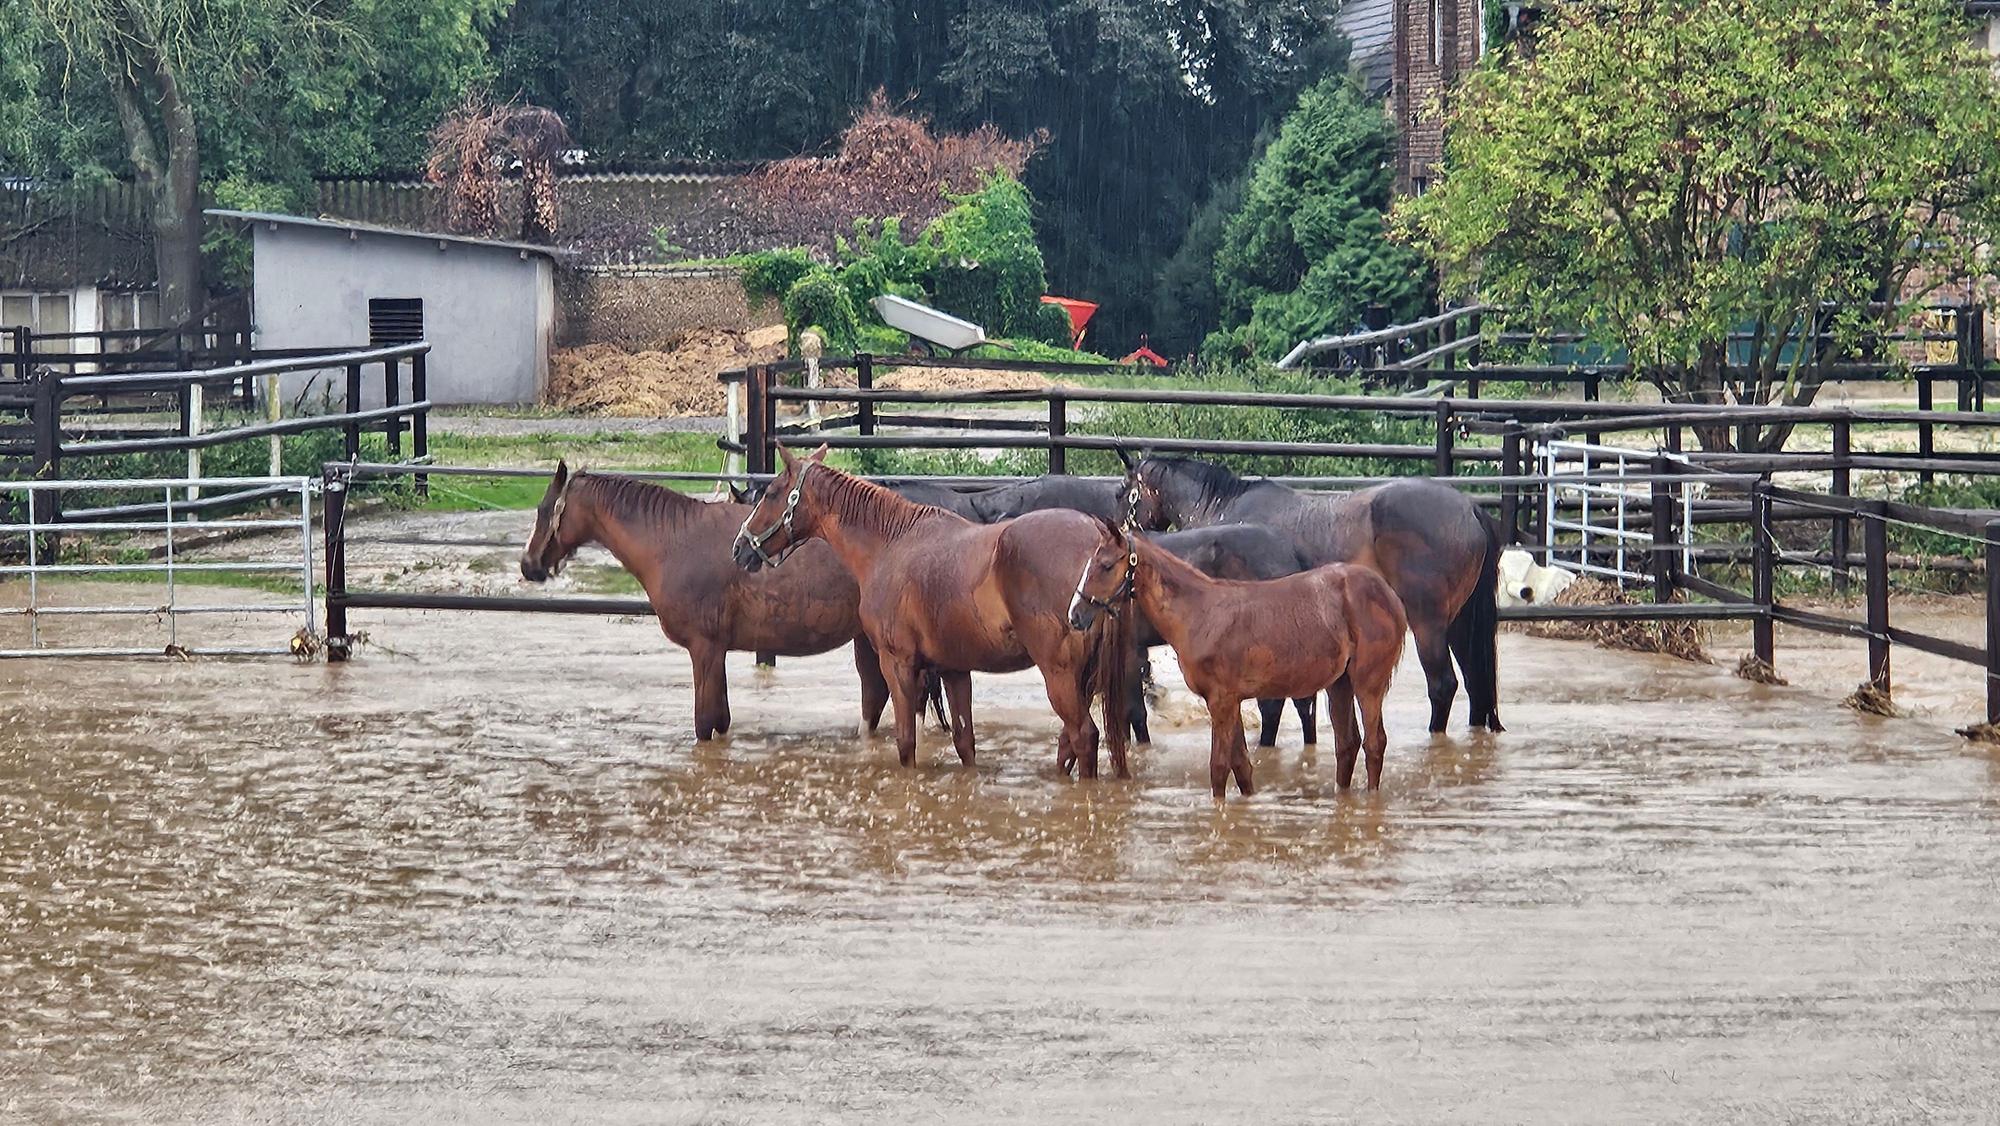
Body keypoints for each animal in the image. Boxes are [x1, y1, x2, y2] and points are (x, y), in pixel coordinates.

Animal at [520, 461, 891, 740]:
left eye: (544, 509)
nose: (528, 565)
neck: (672, 542)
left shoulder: (704, 649)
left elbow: (705, 724)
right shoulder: (717, 652)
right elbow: (721, 721)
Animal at [732, 444, 1134, 779]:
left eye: (771, 493)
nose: (740, 547)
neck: (892, 544)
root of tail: (1097, 537)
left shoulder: (897, 664)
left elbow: (906, 743)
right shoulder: (954, 669)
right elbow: (964, 742)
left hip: (1060, 675)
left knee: (1083, 736)